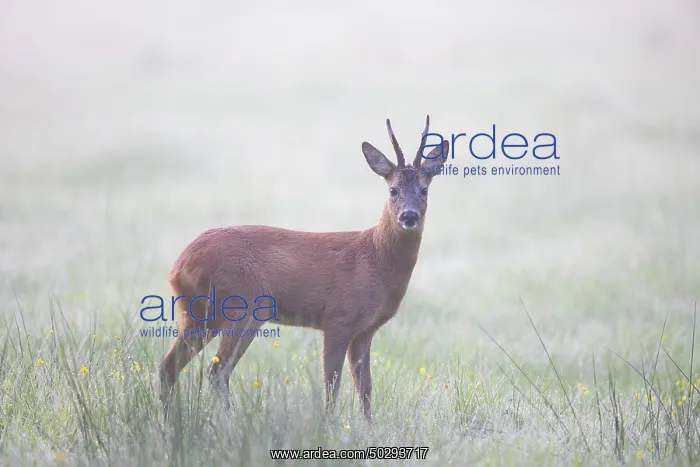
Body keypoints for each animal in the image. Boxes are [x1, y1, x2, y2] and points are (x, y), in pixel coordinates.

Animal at [158, 115, 450, 423]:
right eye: (393, 190)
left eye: (424, 190)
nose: (409, 216)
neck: (375, 259)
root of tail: (178, 266)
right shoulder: (338, 317)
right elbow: (332, 383)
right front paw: (329, 425)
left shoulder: (365, 330)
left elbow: (366, 388)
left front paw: (368, 428)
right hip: (243, 306)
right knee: (217, 370)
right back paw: (229, 424)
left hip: (199, 314)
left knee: (169, 366)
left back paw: (168, 422)